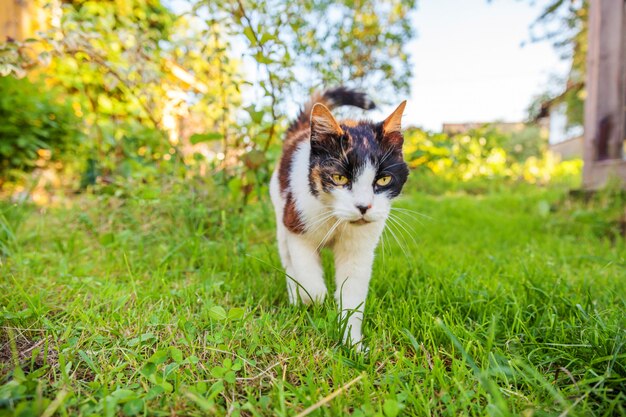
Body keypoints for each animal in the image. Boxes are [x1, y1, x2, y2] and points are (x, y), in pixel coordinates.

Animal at [270, 87, 410, 348]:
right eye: (339, 178)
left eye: (384, 179)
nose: (363, 206)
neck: (336, 218)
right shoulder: (297, 222)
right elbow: (309, 278)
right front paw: (314, 299)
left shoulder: (359, 248)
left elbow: (353, 292)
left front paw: (353, 343)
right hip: (280, 207)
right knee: (287, 259)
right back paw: (295, 298)